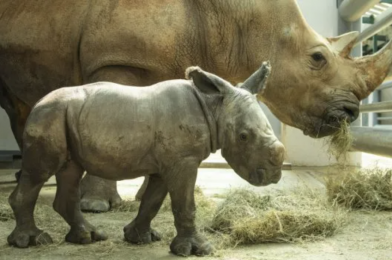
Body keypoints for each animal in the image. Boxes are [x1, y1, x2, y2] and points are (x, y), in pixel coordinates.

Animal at [0, 0, 392, 212]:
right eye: (317, 58)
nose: (351, 114)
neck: (236, 15)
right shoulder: (117, 59)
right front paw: (96, 205)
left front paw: (150, 197)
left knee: (19, 103)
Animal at [6, 61, 284, 256]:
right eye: (244, 137)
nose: (273, 175)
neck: (213, 107)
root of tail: (37, 103)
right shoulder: (183, 160)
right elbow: (185, 204)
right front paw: (198, 250)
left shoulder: (168, 163)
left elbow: (153, 201)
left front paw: (139, 238)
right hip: (48, 117)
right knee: (40, 173)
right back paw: (32, 241)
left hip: (63, 118)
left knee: (69, 171)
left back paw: (89, 236)